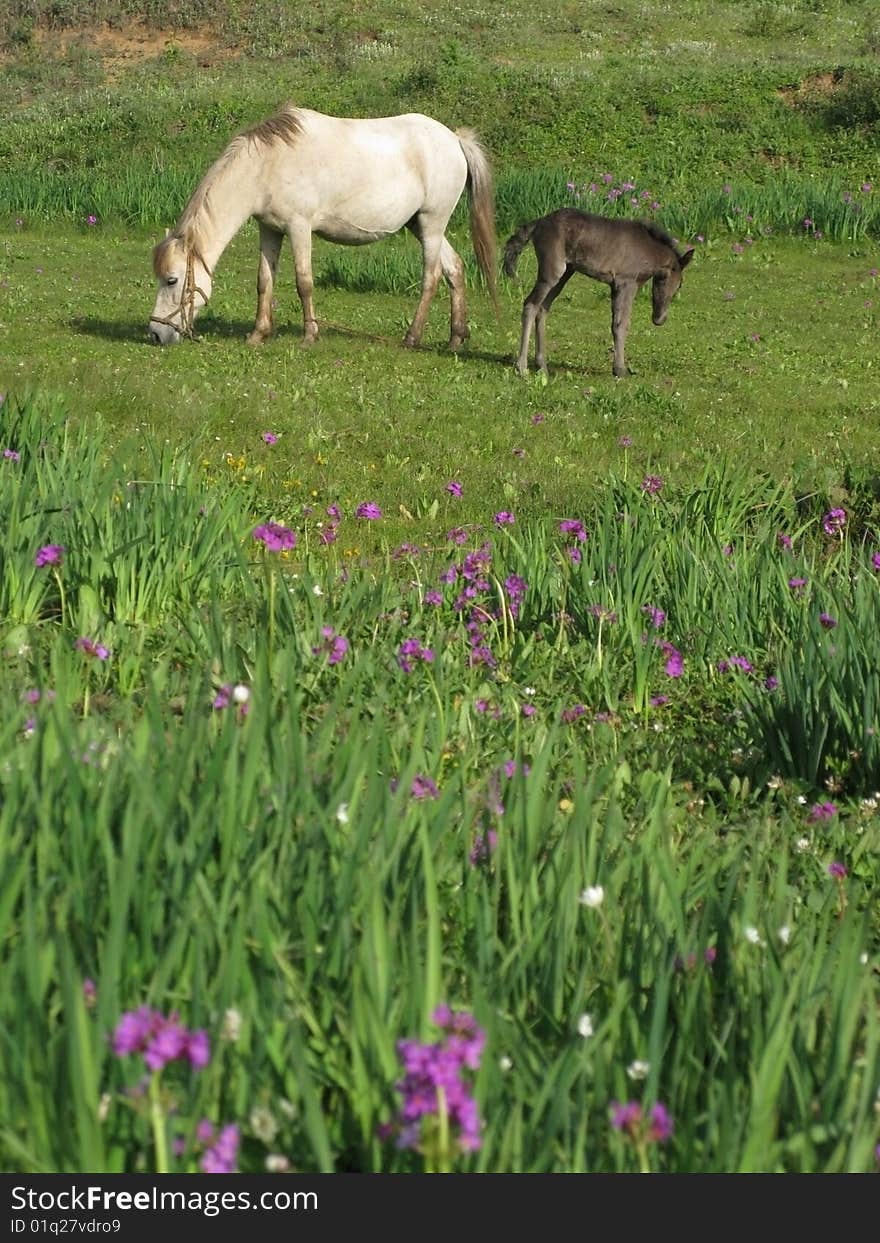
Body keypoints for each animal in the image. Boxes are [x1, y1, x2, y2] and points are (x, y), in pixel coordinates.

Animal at [147, 103, 499, 350]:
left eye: (171, 279)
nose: (155, 334)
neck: (267, 164)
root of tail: (455, 139)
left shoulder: (299, 228)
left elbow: (304, 282)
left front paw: (309, 335)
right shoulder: (270, 230)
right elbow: (264, 281)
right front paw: (258, 334)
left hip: (431, 223)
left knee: (431, 277)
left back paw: (412, 338)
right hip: (422, 226)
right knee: (454, 268)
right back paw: (456, 338)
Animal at [502, 208, 696, 375]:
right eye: (680, 285)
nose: (659, 319)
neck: (648, 249)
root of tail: (540, 222)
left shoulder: (615, 286)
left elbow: (615, 324)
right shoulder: (626, 283)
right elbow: (622, 324)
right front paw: (620, 370)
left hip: (565, 273)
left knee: (543, 309)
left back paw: (542, 365)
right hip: (552, 271)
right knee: (531, 305)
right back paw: (522, 366)